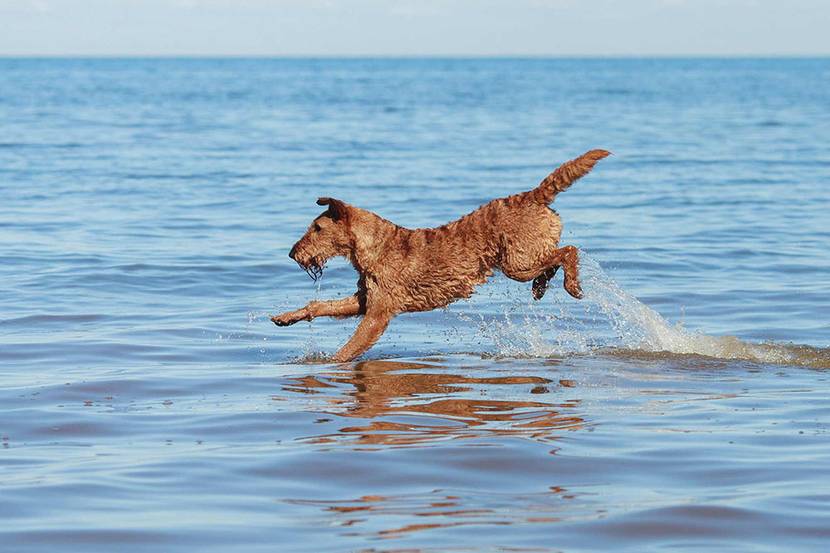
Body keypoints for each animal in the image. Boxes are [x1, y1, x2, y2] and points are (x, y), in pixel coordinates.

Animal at [272, 148, 612, 362]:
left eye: (316, 228)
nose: (292, 253)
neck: (374, 247)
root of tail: (532, 196)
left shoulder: (378, 313)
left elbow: (348, 348)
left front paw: (329, 362)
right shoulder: (365, 299)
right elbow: (319, 305)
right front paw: (286, 317)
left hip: (517, 262)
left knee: (569, 251)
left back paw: (571, 285)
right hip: (522, 258)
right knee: (552, 259)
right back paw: (541, 287)